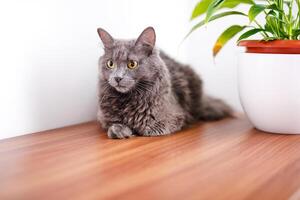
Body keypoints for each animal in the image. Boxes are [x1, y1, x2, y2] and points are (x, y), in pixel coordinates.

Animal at [96, 26, 232, 139]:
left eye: (132, 64)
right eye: (110, 64)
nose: (117, 78)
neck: (127, 100)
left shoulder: (173, 118)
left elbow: (146, 128)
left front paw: (131, 130)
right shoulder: (104, 118)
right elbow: (112, 125)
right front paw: (119, 130)